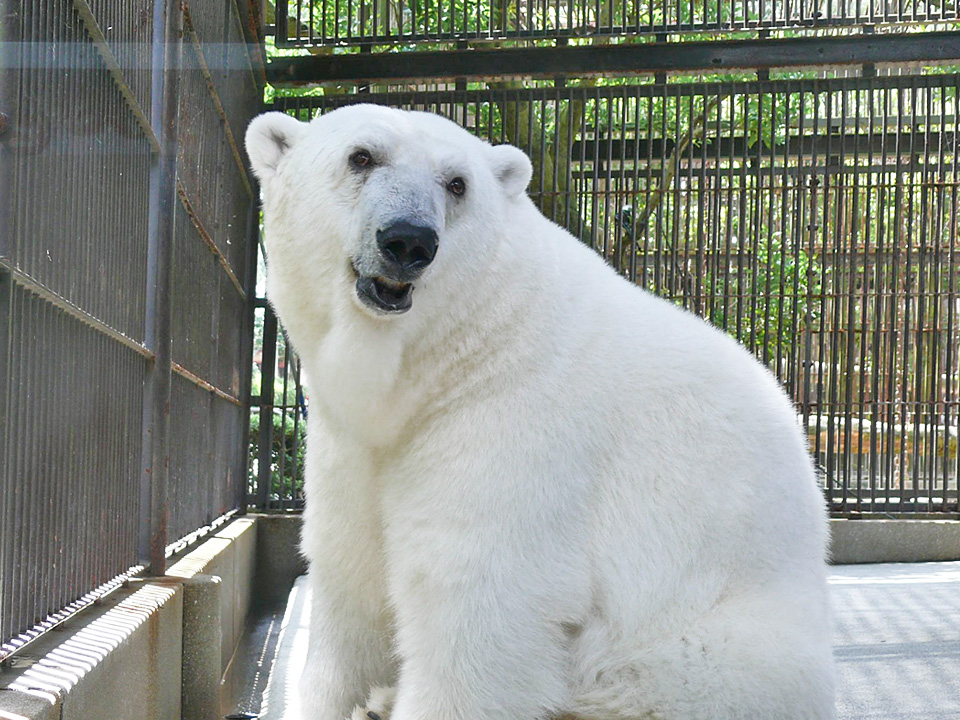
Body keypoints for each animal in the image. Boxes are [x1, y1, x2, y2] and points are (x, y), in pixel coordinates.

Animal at [248, 102, 832, 720]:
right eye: (361, 156)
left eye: (457, 183)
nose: (408, 241)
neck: (447, 359)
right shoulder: (349, 440)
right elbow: (349, 563)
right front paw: (351, 696)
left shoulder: (515, 422)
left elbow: (475, 596)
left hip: (715, 646)